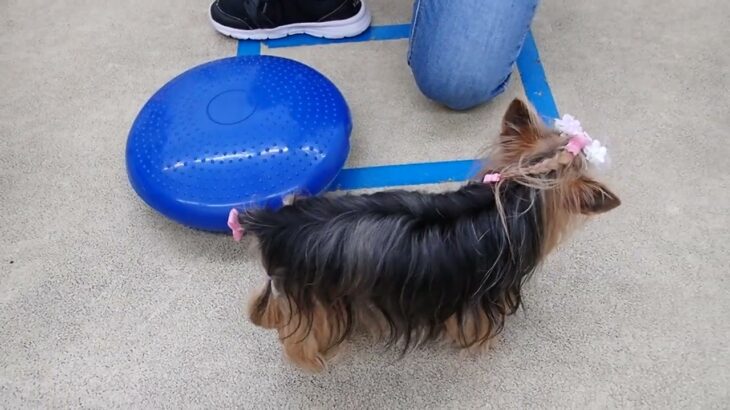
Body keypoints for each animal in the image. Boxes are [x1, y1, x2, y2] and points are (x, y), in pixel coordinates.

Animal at [230, 100, 616, 372]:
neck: (515, 195)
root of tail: (273, 223)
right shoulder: (477, 304)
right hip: (314, 300)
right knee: (300, 338)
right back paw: (317, 359)